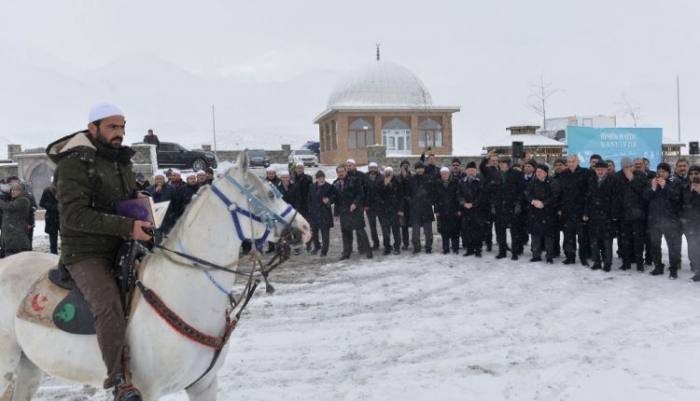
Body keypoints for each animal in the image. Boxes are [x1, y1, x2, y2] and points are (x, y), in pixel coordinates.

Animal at [0, 152, 312, 398]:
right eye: (270, 194)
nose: (305, 228)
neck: (182, 291)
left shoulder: (204, 384)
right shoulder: (147, 391)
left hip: (28, 366)